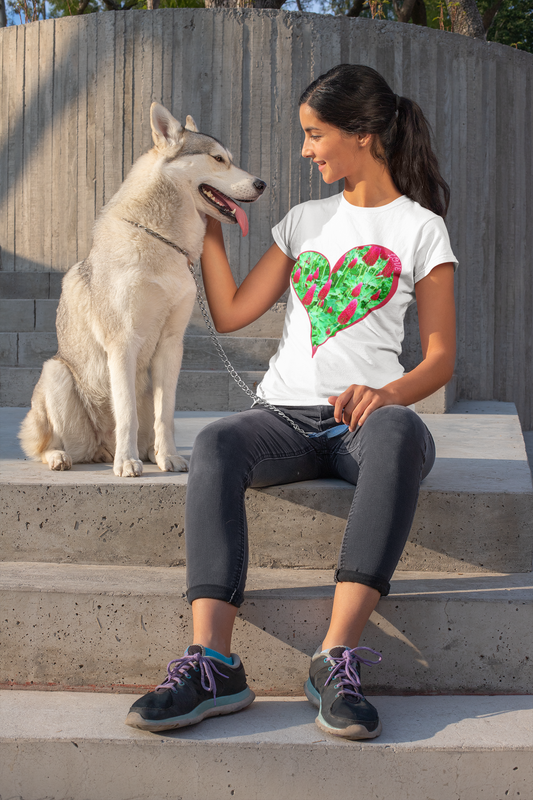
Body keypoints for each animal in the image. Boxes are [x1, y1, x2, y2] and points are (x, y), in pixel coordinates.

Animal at [19, 100, 266, 476]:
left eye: (231, 159)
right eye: (218, 158)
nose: (262, 183)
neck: (163, 241)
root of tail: (100, 448)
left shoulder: (171, 345)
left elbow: (166, 415)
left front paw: (170, 458)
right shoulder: (123, 342)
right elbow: (127, 414)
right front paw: (127, 462)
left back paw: (151, 453)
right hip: (56, 373)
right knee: (47, 444)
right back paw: (68, 456)